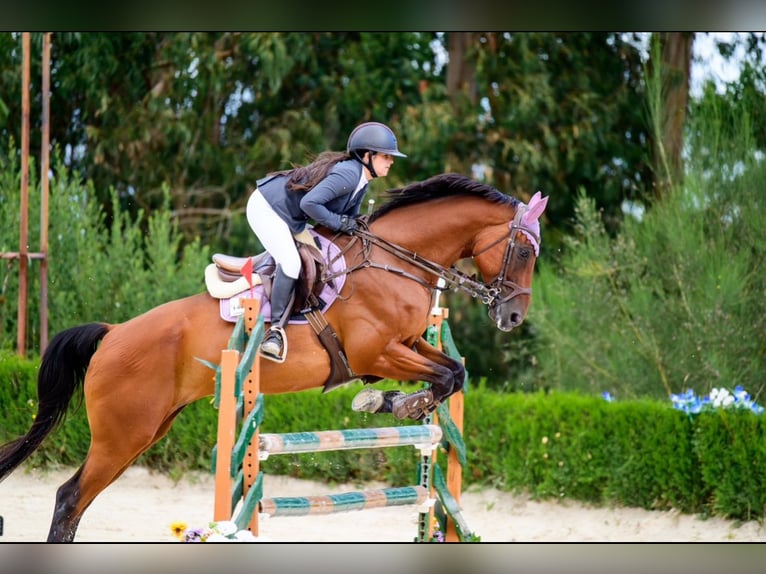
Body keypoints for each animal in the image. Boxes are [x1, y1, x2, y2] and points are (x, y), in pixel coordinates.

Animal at [0, 172, 548, 544]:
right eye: (524, 251)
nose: (513, 316)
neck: (396, 260)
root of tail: (112, 335)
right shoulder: (379, 351)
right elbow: (445, 377)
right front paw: (399, 404)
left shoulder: (408, 345)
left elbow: (454, 371)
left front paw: (397, 403)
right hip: (122, 436)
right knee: (70, 499)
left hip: (144, 432)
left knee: (77, 500)